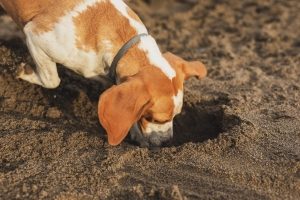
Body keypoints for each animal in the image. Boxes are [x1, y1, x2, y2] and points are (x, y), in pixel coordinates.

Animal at [0, 0, 207, 147]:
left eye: (176, 116)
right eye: (154, 119)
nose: (167, 142)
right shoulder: (34, 35)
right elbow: (52, 80)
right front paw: (23, 71)